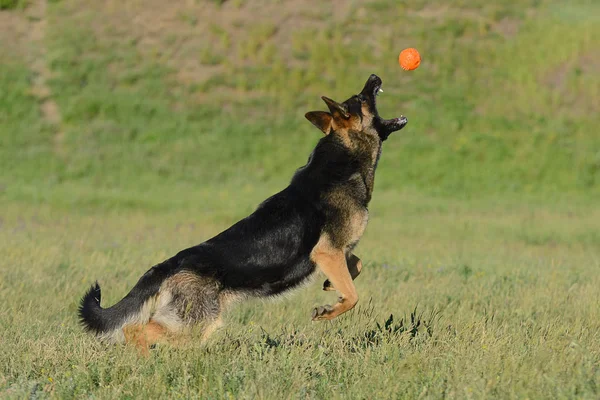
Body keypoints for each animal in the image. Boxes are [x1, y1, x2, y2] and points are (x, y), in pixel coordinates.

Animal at [78, 73, 408, 352]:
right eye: (361, 98)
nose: (374, 76)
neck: (344, 159)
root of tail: (167, 265)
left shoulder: (338, 252)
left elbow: (356, 266)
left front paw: (331, 286)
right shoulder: (327, 252)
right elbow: (353, 296)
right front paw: (328, 310)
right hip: (194, 323)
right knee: (135, 331)